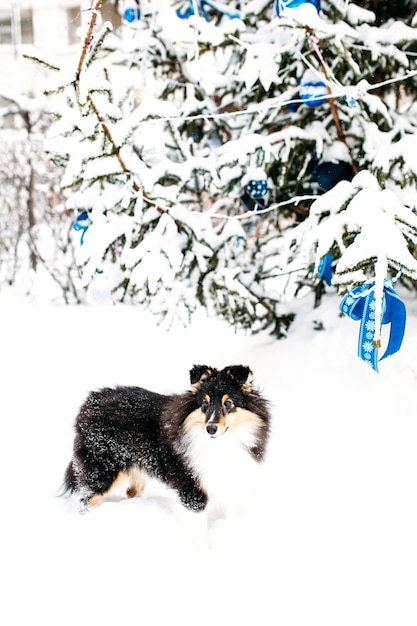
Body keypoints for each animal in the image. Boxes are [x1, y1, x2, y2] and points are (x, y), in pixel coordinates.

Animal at [61, 360, 270, 516]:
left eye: (228, 403)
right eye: (204, 403)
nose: (210, 429)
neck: (219, 444)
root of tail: (90, 401)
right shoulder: (191, 490)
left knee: (131, 491)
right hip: (103, 470)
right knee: (85, 501)